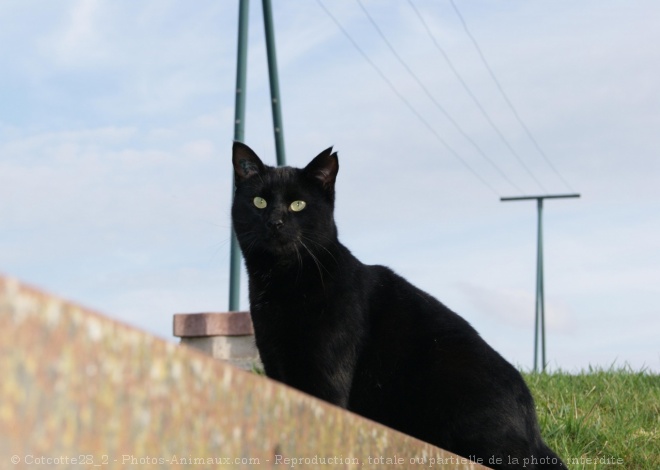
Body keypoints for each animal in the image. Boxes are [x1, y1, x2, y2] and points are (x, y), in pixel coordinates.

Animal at [229, 141, 564, 468]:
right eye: (259, 202)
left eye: (298, 204)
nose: (275, 222)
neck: (282, 284)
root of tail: (536, 434)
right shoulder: (276, 364)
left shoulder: (325, 375)